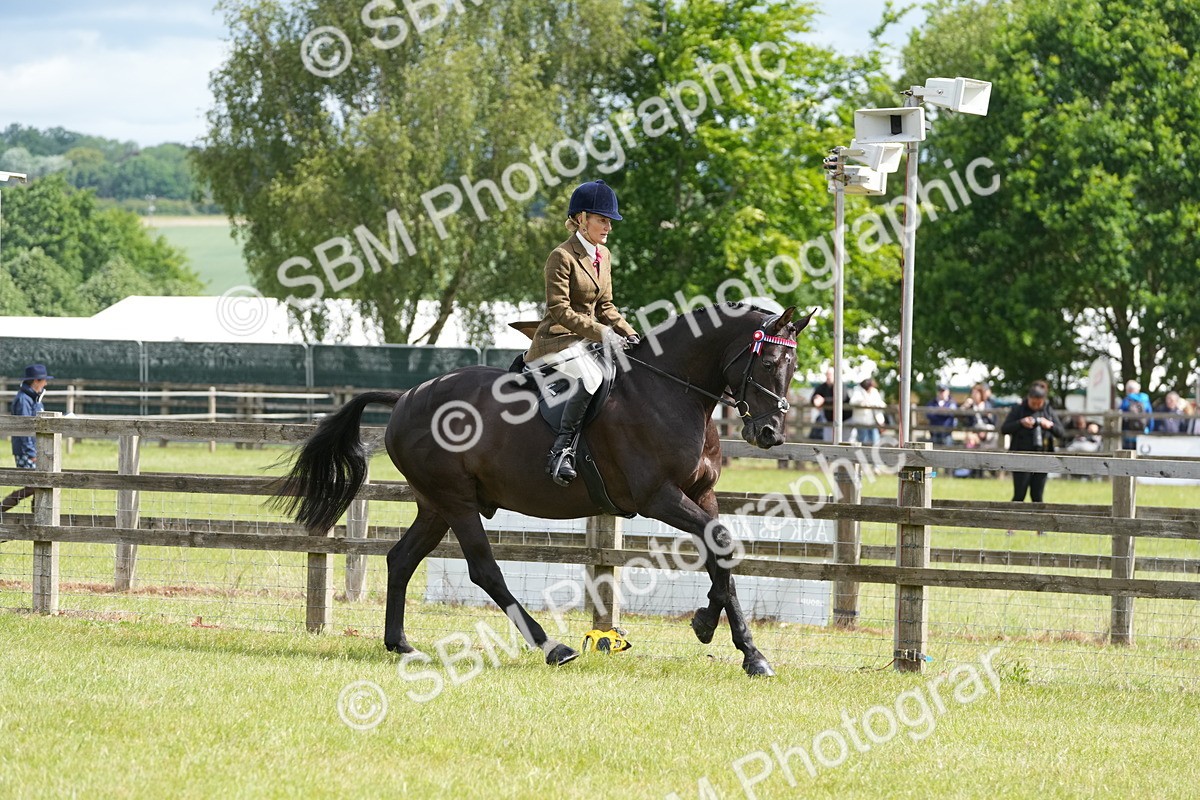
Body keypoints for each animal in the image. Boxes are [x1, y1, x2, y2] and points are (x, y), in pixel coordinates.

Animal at [275, 302, 813, 677]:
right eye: (769, 363)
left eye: (793, 365)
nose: (769, 433)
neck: (672, 390)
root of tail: (408, 395)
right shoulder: (657, 498)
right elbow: (719, 544)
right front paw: (723, 635)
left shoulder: (701, 495)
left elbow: (722, 551)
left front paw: (732, 640)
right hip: (457, 502)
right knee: (484, 571)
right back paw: (554, 647)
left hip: (435, 505)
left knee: (401, 559)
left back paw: (401, 644)